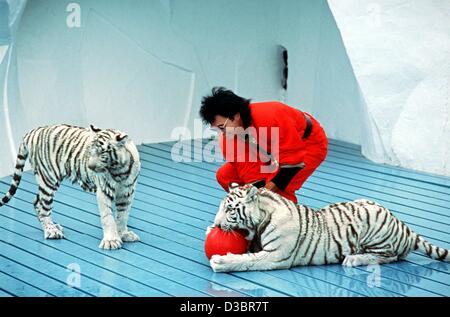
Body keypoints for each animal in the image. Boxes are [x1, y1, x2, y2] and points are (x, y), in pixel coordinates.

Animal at [0, 123, 141, 249]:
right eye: (90, 151)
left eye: (102, 153)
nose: (90, 167)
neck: (119, 170)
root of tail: (32, 131)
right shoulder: (104, 191)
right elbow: (108, 217)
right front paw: (111, 241)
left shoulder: (127, 192)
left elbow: (123, 215)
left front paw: (123, 234)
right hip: (48, 179)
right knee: (42, 206)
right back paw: (51, 231)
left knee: (36, 201)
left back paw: (53, 227)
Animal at [208, 184, 450, 270]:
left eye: (229, 210)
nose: (216, 225)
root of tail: (403, 225)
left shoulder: (275, 256)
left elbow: (247, 260)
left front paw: (221, 261)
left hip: (375, 227)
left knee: (390, 257)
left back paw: (354, 259)